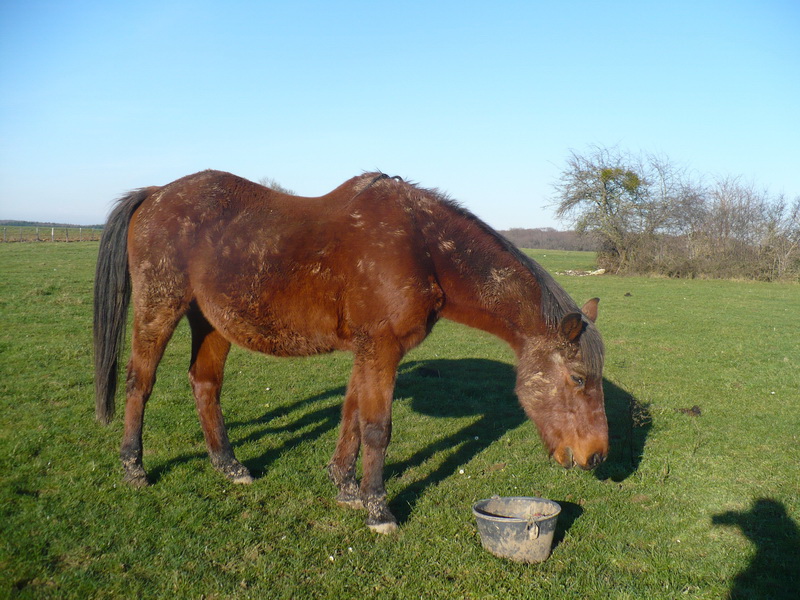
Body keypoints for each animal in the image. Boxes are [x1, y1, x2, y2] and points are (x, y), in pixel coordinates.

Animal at [92, 170, 608, 536]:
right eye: (578, 378)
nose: (596, 456)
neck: (421, 246)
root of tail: (156, 193)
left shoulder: (369, 350)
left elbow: (352, 417)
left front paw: (344, 485)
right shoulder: (381, 348)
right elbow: (377, 428)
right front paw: (378, 509)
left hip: (212, 323)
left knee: (205, 384)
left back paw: (229, 465)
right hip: (159, 309)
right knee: (141, 383)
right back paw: (134, 466)